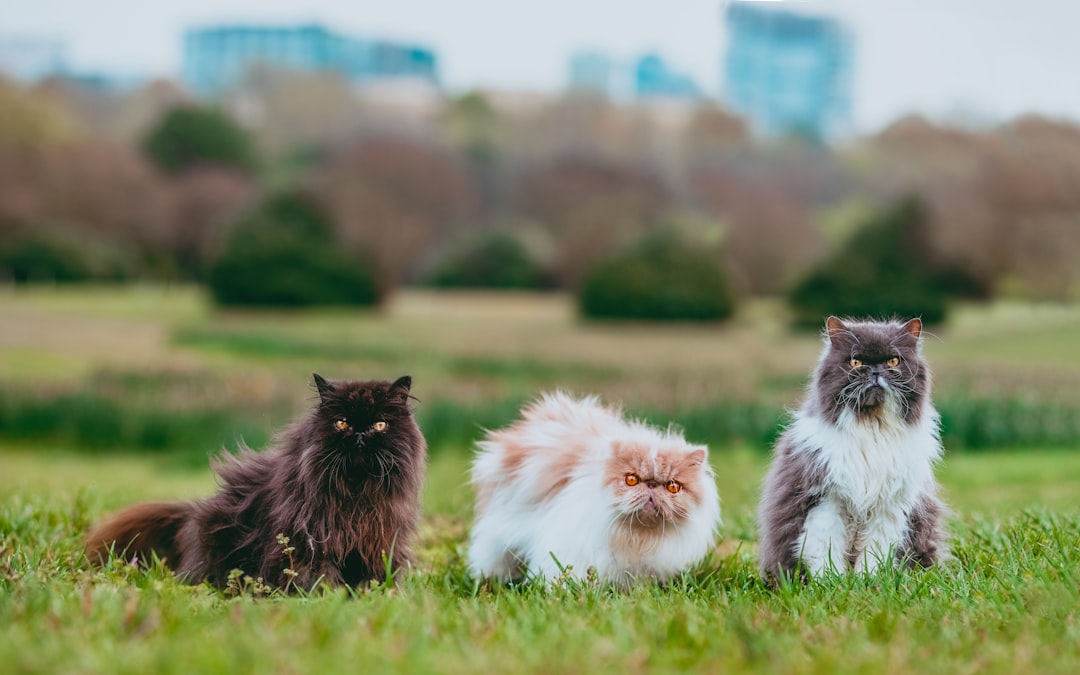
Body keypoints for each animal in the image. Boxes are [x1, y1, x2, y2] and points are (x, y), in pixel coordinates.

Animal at [85, 373, 425, 587]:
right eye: (341, 423)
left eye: (380, 424)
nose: (359, 434)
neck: (357, 493)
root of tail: (195, 512)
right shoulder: (310, 544)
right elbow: (319, 579)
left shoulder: (380, 542)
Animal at [756, 315, 950, 578]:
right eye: (856, 362)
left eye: (893, 360)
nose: (875, 370)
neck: (871, 428)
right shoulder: (825, 499)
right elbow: (825, 550)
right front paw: (832, 581)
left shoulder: (889, 506)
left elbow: (876, 551)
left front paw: (867, 580)